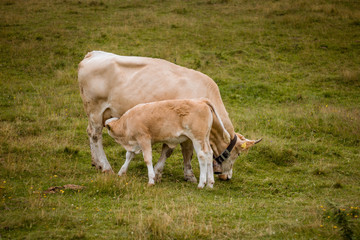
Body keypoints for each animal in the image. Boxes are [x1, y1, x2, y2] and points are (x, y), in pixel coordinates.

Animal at [104, 98, 232, 188]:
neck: (126, 124)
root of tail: (201, 101)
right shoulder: (135, 143)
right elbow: (129, 156)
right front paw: (121, 172)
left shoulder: (144, 139)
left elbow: (147, 159)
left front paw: (151, 180)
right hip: (205, 138)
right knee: (209, 154)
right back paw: (210, 183)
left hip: (197, 138)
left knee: (202, 156)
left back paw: (201, 183)